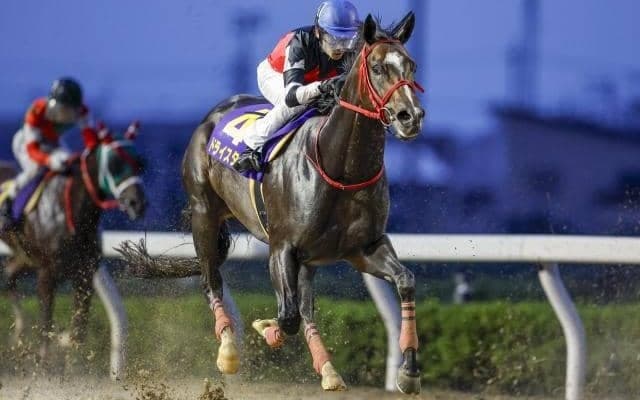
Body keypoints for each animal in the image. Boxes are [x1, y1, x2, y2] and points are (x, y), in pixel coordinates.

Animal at [0, 122, 146, 361]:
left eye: (140, 163)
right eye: (114, 163)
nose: (138, 203)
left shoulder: (84, 274)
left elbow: (79, 332)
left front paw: (68, 345)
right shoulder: (47, 274)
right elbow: (46, 329)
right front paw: (46, 357)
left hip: (24, 257)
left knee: (8, 276)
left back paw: (20, 329)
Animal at [120, 12, 424, 393]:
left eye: (411, 65)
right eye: (378, 67)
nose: (410, 116)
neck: (339, 165)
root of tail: (213, 116)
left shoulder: (364, 247)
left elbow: (405, 281)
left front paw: (409, 372)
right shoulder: (282, 248)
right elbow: (288, 315)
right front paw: (265, 329)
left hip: (309, 256)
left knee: (305, 307)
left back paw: (328, 370)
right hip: (204, 213)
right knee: (211, 281)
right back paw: (228, 348)